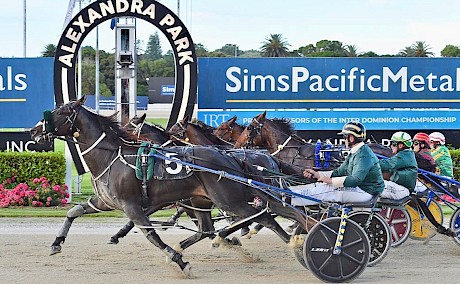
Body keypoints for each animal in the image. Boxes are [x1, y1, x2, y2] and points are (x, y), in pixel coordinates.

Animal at [30, 97, 308, 276]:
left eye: (60, 112)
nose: (33, 131)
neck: (111, 157)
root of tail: (229, 157)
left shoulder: (133, 206)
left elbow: (151, 235)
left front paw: (180, 261)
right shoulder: (105, 202)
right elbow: (73, 212)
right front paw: (56, 244)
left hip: (230, 199)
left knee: (266, 216)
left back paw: (294, 244)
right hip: (208, 200)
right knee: (222, 225)